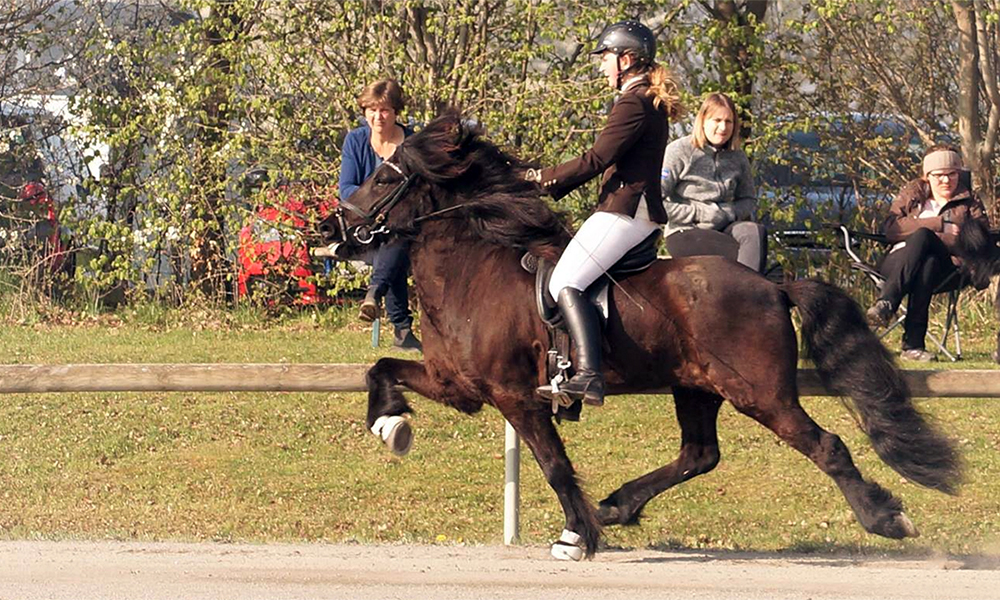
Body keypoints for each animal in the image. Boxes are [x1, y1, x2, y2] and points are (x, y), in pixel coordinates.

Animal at [320, 113, 960, 564]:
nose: (332, 226)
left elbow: (554, 464)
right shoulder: (459, 385)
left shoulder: (514, 396)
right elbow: (380, 369)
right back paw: (617, 504)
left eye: (384, 177)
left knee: (825, 446)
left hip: (761, 394)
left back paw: (886, 519)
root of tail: (772, 283)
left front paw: (577, 535)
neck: (473, 267)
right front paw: (392, 426)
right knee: (700, 454)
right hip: (696, 387)